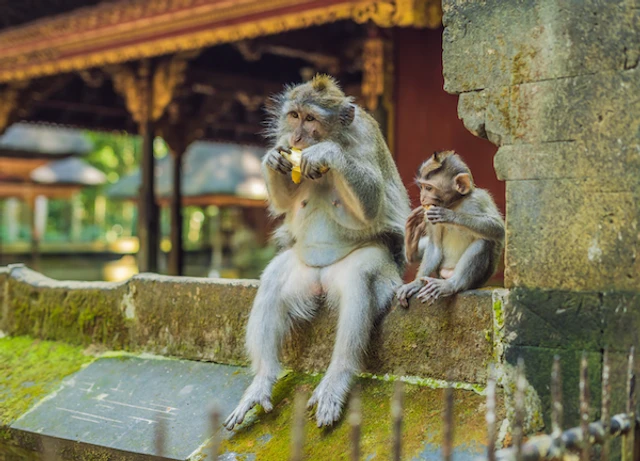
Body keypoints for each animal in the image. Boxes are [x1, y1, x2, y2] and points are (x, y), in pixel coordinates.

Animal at [223, 75, 410, 429]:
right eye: (294, 116)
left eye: (311, 119)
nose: (298, 137)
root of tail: (320, 281)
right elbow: (285, 200)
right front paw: (272, 160)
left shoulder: (365, 139)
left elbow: (371, 204)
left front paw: (328, 153)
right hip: (301, 272)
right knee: (272, 282)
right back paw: (263, 379)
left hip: (365, 269)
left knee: (359, 280)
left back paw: (337, 377)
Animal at [396, 150, 504, 307]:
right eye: (422, 187)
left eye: (429, 188)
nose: (422, 198)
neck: (455, 203)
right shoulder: (428, 216)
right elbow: (434, 247)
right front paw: (416, 283)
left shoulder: (479, 198)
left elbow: (498, 227)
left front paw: (448, 215)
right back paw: (411, 248)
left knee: (484, 241)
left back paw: (452, 284)